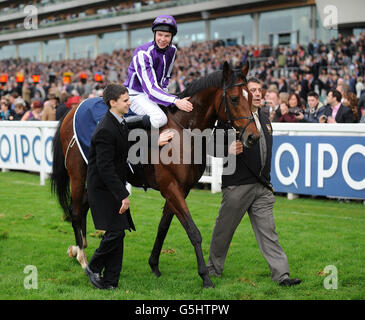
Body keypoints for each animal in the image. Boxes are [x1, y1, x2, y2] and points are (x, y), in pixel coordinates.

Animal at [50, 61, 258, 288]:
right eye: (235, 98)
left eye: (251, 96)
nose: (253, 137)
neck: (183, 132)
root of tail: (72, 110)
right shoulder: (171, 187)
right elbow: (193, 231)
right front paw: (205, 277)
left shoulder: (180, 189)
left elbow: (163, 227)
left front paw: (154, 265)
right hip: (78, 174)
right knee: (76, 210)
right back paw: (82, 258)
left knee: (85, 205)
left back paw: (79, 248)